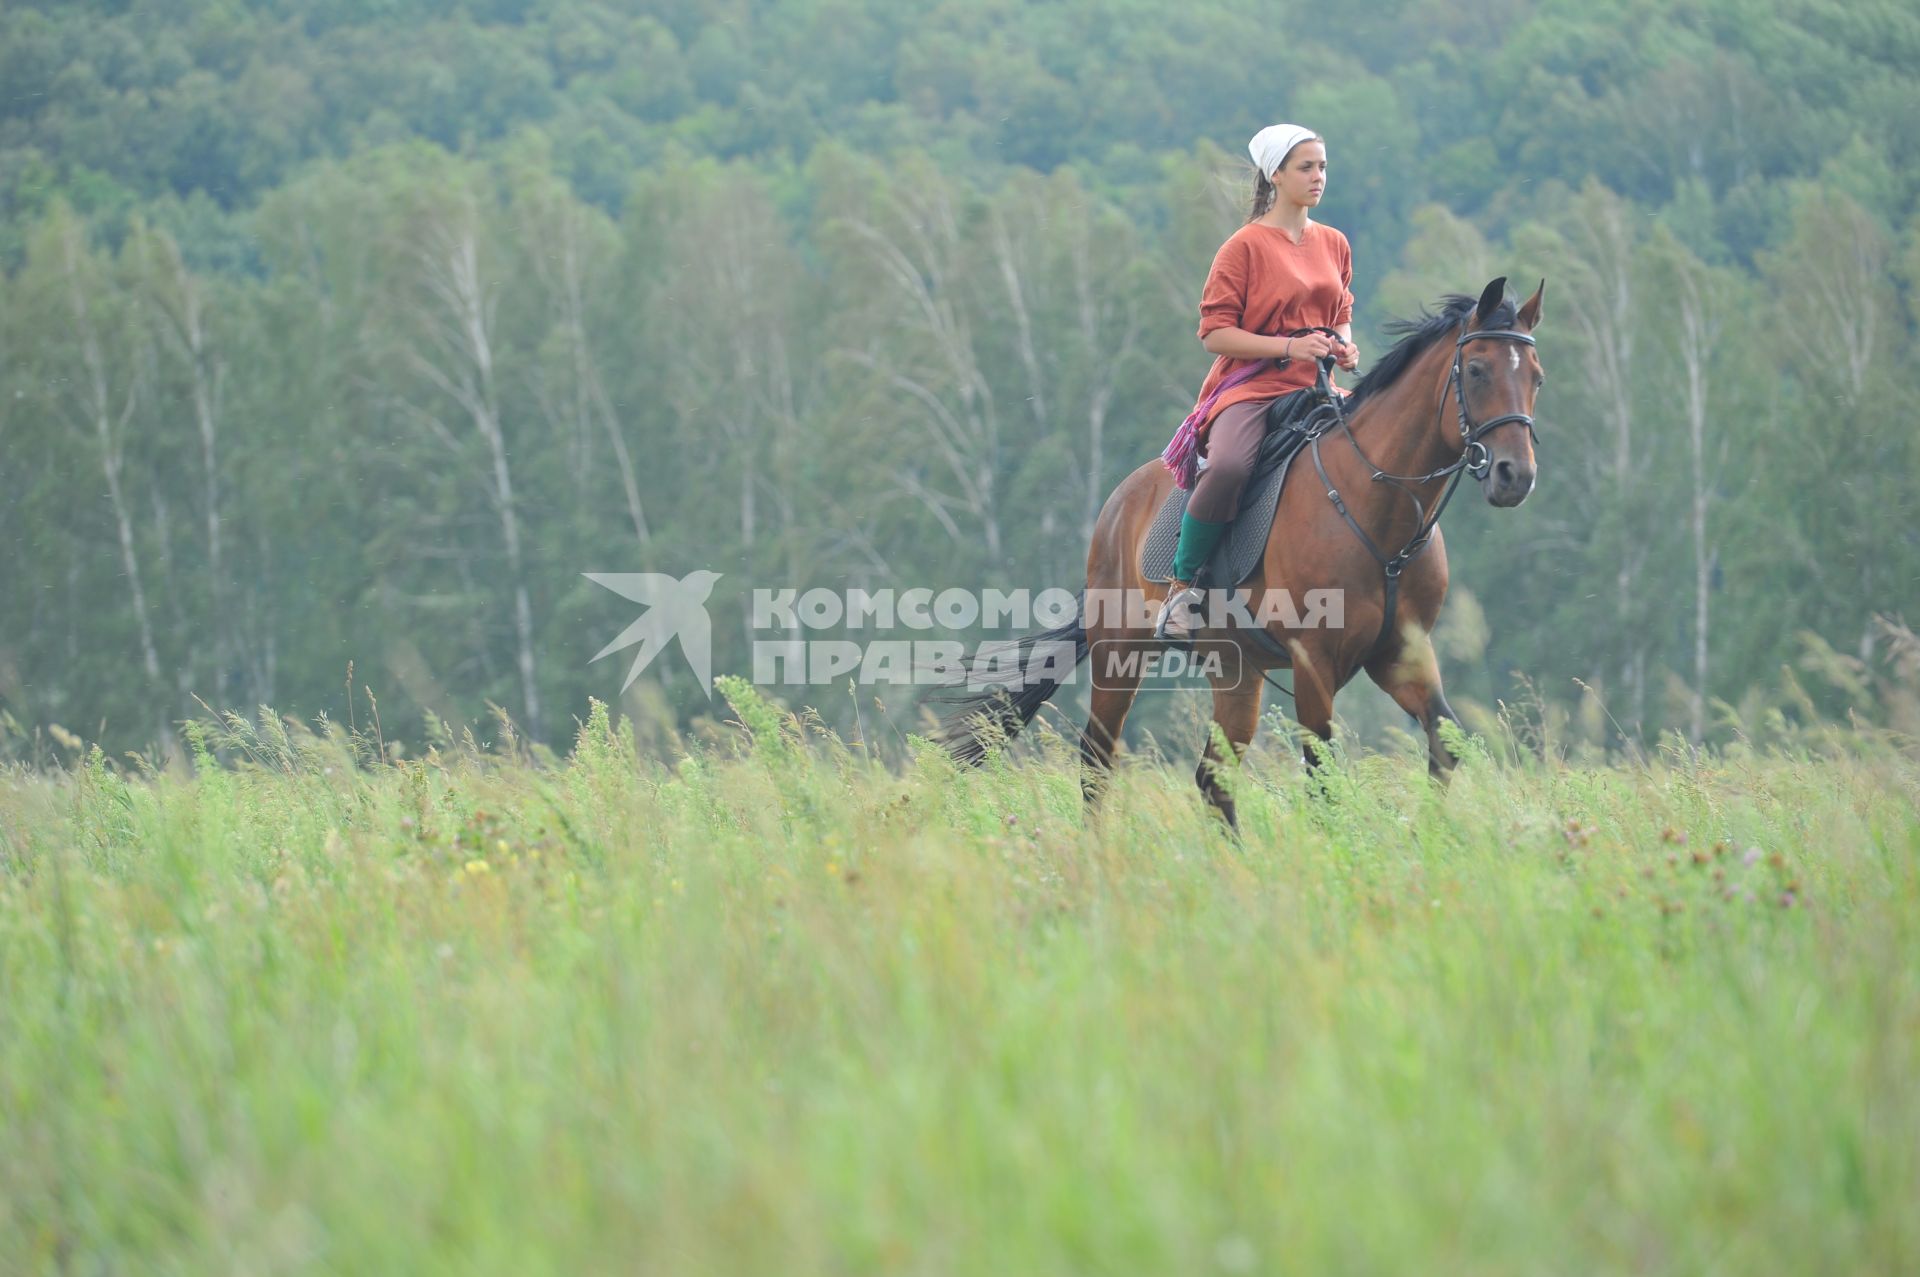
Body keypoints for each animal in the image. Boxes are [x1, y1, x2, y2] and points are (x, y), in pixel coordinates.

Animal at [929, 276, 1543, 825]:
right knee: (1097, 763)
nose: (1515, 476)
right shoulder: (1313, 662)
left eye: (1536, 377)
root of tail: (1121, 500)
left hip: (1235, 670)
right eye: (1477, 369)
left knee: (1211, 780)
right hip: (1118, 654)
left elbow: (1445, 745)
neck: (1378, 505)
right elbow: (1322, 778)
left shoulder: (1401, 653)